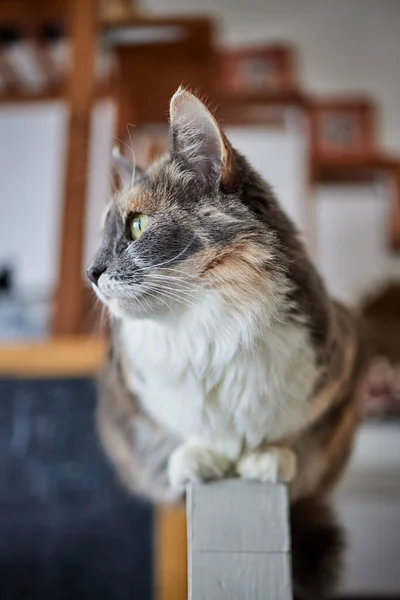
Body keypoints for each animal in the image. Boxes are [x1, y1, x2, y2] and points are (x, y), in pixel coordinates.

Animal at [89, 86, 368, 596]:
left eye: (137, 225)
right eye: (102, 230)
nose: (90, 273)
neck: (208, 326)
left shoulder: (340, 370)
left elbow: (293, 431)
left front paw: (268, 457)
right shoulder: (124, 394)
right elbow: (176, 431)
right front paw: (200, 456)